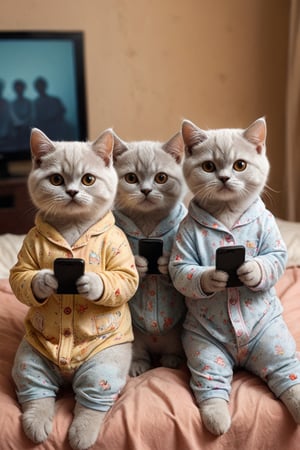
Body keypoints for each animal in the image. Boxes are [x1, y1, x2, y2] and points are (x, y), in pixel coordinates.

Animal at [9, 127, 138, 450]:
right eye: (56, 179)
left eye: (88, 179)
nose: (72, 192)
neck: (72, 227)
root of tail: (68, 376)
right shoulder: (25, 254)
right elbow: (21, 278)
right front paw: (45, 281)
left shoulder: (121, 252)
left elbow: (123, 280)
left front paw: (91, 282)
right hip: (29, 359)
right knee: (36, 390)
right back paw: (37, 424)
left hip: (104, 365)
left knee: (91, 399)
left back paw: (82, 434)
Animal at [113, 131, 188, 376]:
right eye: (131, 178)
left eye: (161, 178)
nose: (146, 190)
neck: (148, 222)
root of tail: (155, 342)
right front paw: (139, 264)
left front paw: (164, 263)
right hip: (135, 339)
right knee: (140, 354)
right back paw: (138, 365)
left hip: (177, 336)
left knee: (172, 352)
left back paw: (171, 360)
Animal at [169, 118, 300, 436]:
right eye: (208, 166)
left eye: (240, 165)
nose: (226, 178)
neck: (227, 213)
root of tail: (240, 360)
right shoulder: (182, 245)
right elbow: (184, 272)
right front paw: (213, 278)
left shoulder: (272, 238)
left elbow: (273, 259)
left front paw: (250, 270)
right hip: (205, 349)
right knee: (211, 381)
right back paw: (217, 419)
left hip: (274, 341)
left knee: (286, 371)